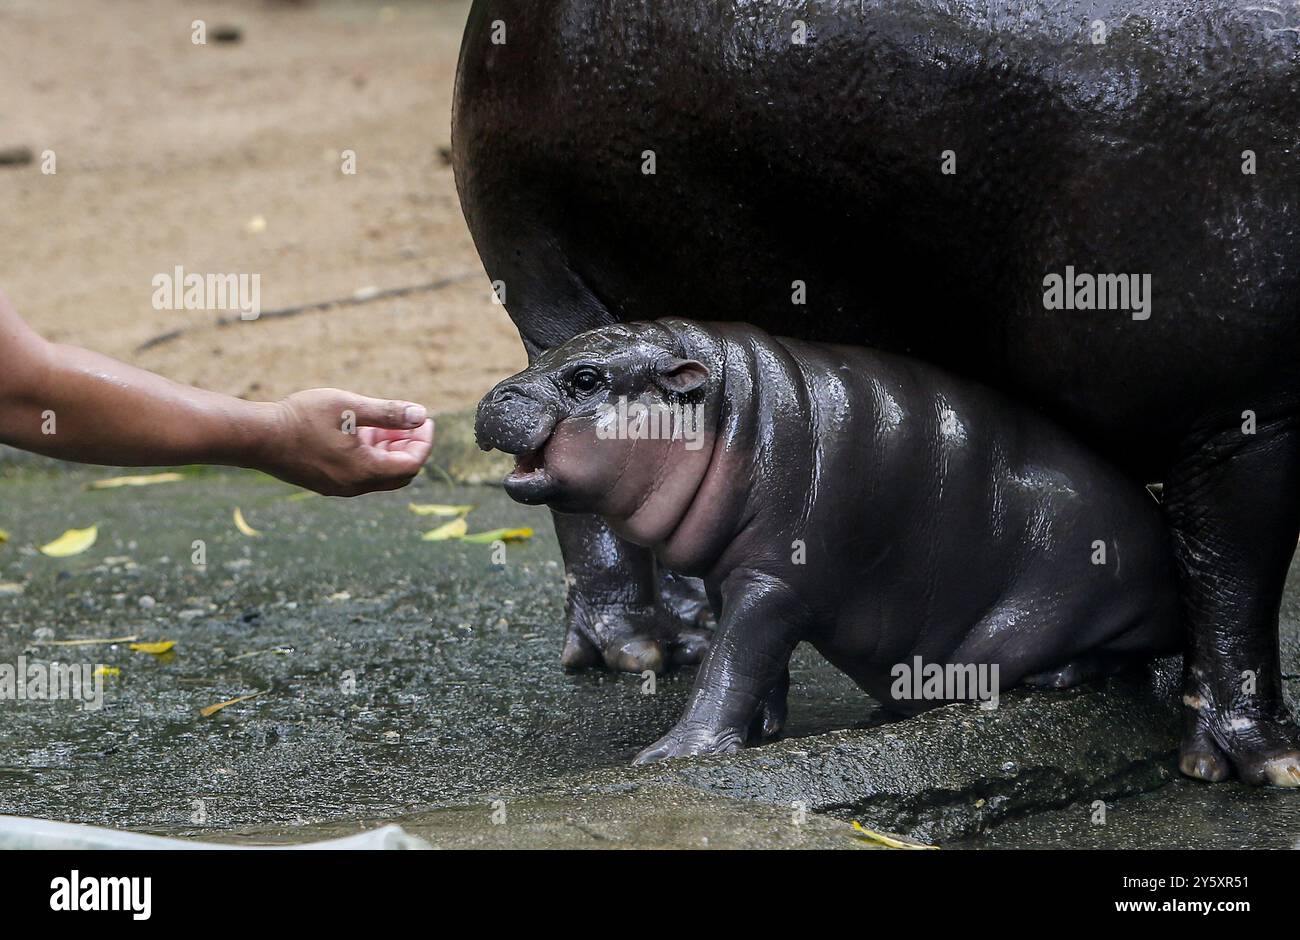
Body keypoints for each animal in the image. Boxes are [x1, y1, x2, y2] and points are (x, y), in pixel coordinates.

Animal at [475, 319, 1180, 759]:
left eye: (586, 378)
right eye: (544, 355)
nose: (493, 399)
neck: (729, 414)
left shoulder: (773, 581)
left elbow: (728, 665)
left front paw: (671, 755)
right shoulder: (735, 578)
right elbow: (755, 659)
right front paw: (761, 730)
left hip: (1090, 593)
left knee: (1128, 651)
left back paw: (1057, 677)